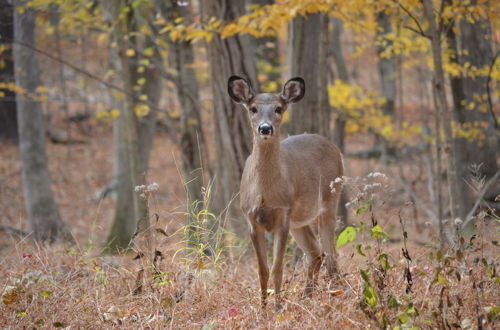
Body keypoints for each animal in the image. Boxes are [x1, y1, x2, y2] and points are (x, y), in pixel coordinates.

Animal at [229, 75, 344, 310]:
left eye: (279, 108)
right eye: (253, 108)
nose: (265, 128)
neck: (264, 192)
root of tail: (336, 149)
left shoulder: (283, 215)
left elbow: (277, 269)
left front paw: (278, 308)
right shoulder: (251, 219)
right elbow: (262, 271)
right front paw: (263, 309)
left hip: (330, 201)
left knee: (331, 256)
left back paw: (332, 299)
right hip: (298, 221)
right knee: (315, 252)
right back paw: (307, 297)